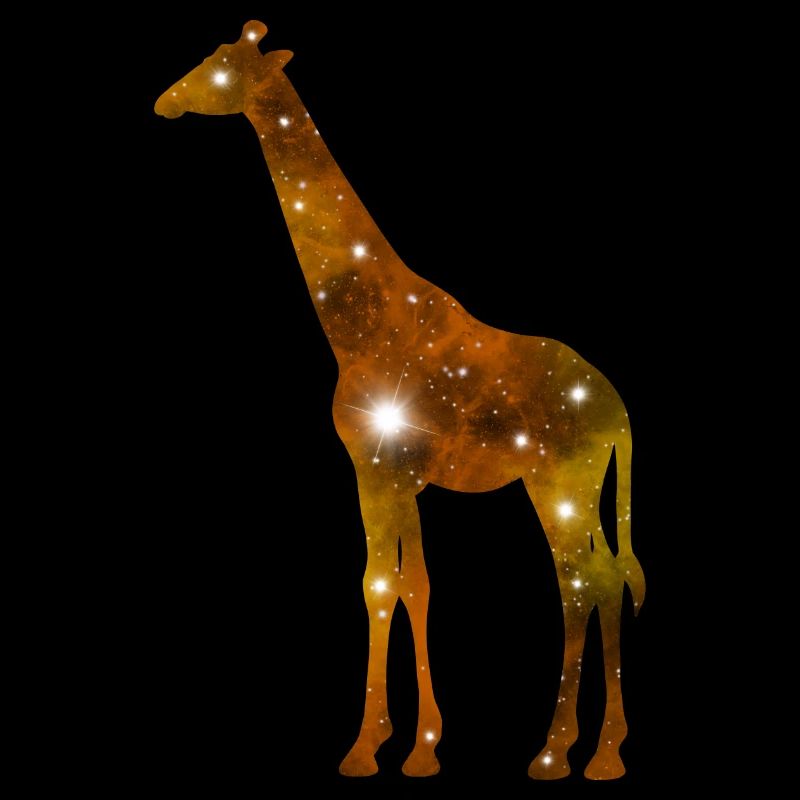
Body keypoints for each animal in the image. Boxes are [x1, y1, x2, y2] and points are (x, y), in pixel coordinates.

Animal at [155, 20, 646, 781]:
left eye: (222, 67)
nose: (165, 101)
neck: (362, 324)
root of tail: (617, 409)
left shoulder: (374, 469)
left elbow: (377, 585)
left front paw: (368, 749)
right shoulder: (401, 475)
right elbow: (415, 583)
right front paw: (417, 745)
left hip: (556, 479)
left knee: (581, 581)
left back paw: (561, 754)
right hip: (582, 484)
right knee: (607, 578)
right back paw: (597, 749)